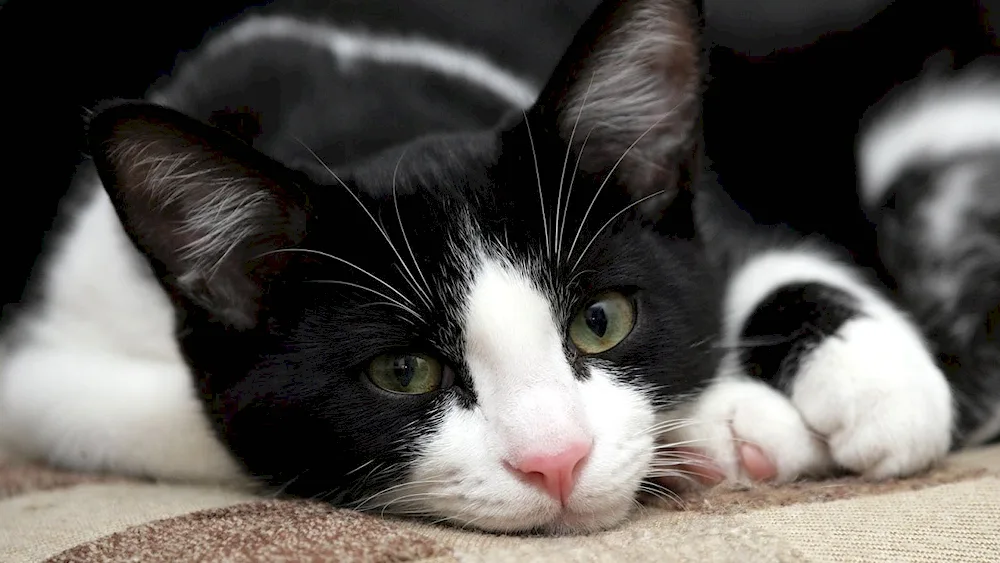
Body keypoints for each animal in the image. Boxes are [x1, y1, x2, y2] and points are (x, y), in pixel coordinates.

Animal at [0, 0, 992, 536]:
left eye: (601, 320)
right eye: (403, 370)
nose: (556, 461)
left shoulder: (704, 202)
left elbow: (759, 258)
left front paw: (881, 384)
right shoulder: (49, 366)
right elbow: (188, 423)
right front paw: (722, 423)